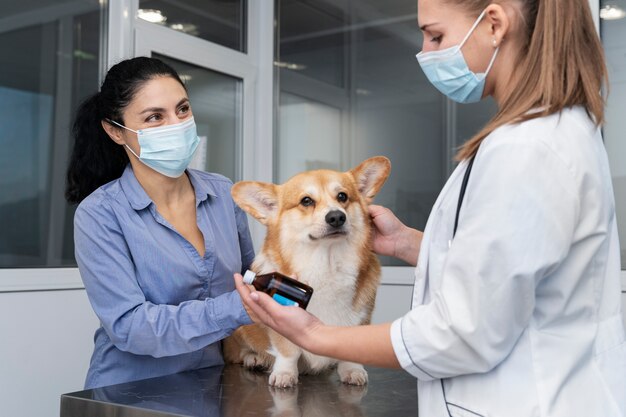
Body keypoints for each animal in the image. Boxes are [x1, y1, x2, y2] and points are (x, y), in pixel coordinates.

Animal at [224, 155, 388, 386]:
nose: (337, 217)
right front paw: (284, 374)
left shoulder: (361, 318)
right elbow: (288, 351)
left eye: (342, 196)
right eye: (306, 201)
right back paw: (253, 358)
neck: (327, 264)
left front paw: (352, 370)